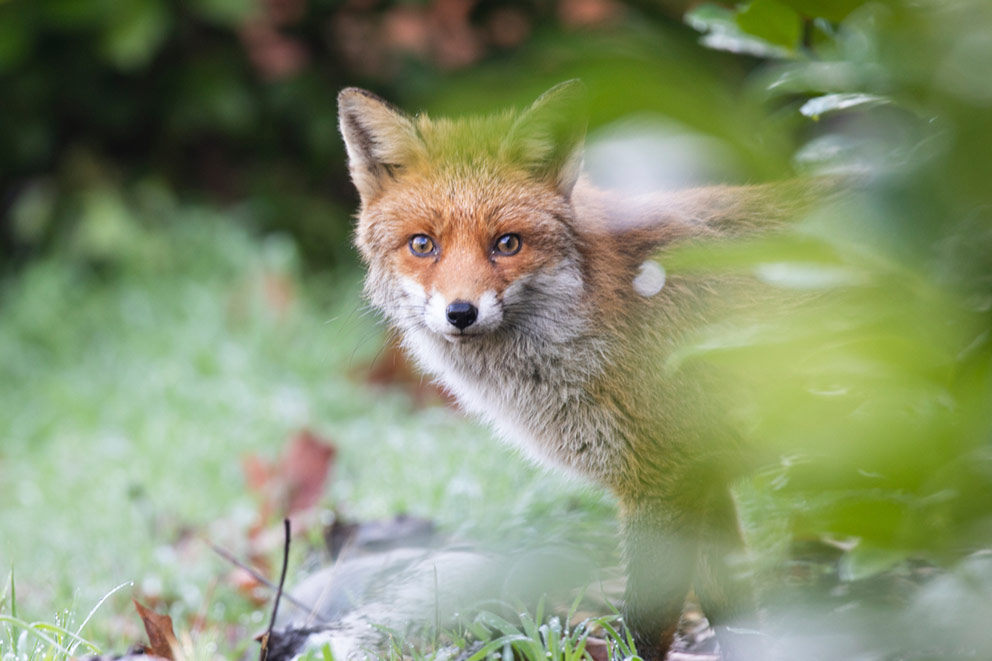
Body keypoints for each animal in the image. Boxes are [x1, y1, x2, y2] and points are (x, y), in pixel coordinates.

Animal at [337, 80, 828, 661]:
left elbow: (642, 629)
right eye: (422, 244)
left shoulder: (661, 485)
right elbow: (738, 621)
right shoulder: (702, 479)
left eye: (507, 243)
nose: (461, 313)